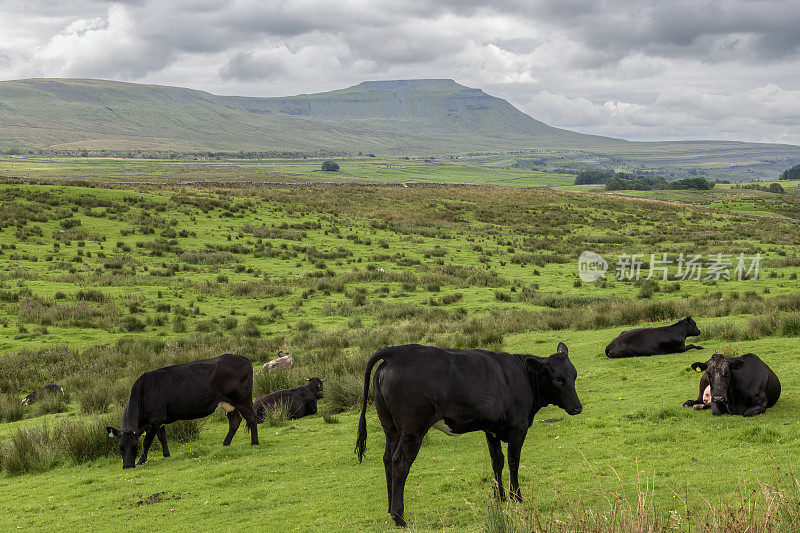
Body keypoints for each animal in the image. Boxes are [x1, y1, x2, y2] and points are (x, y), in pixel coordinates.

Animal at [106, 356, 260, 468]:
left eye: (135, 446)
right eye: (120, 447)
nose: (127, 466)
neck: (143, 393)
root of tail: (244, 358)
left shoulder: (154, 421)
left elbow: (147, 441)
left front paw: (141, 461)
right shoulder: (159, 421)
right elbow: (162, 437)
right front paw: (166, 454)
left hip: (243, 400)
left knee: (252, 418)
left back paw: (254, 443)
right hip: (229, 404)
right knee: (235, 421)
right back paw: (225, 444)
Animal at [356, 342, 580, 524]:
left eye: (574, 376)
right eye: (558, 379)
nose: (578, 408)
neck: (522, 376)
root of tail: (395, 352)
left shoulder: (492, 428)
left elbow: (497, 461)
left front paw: (500, 497)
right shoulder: (518, 427)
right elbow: (513, 461)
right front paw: (516, 497)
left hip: (391, 429)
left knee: (387, 459)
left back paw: (390, 510)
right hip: (413, 431)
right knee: (399, 464)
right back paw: (399, 517)